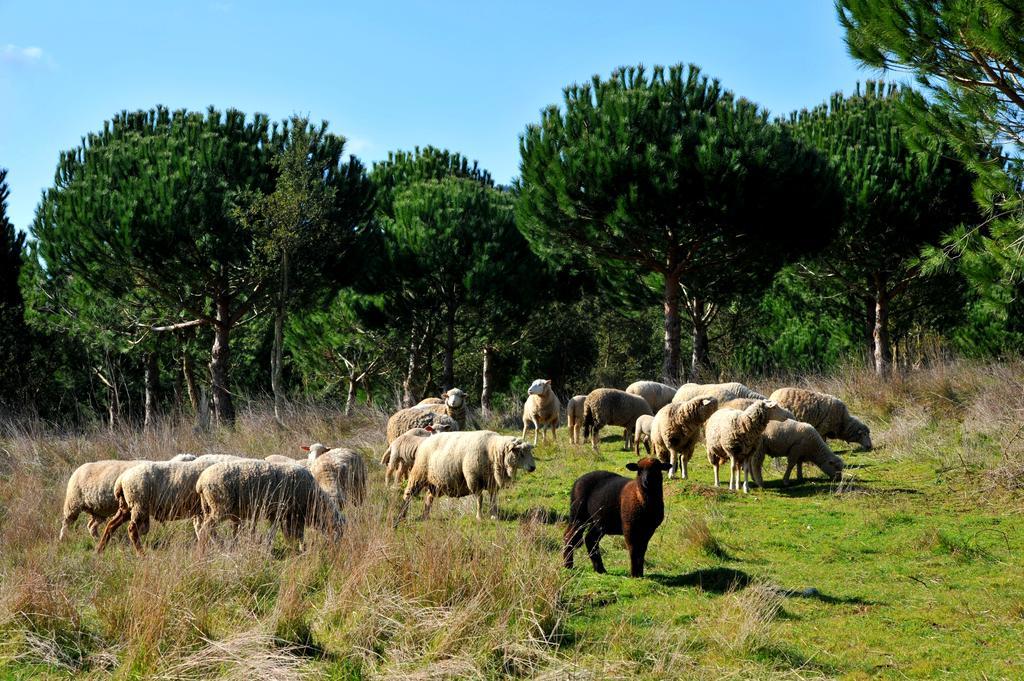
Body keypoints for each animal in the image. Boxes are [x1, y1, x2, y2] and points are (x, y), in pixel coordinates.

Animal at [193, 456, 346, 548]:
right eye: (338, 530)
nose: (337, 548)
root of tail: (200, 482)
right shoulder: (290, 514)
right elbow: (292, 533)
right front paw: (299, 548)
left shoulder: (282, 514)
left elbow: (284, 532)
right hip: (220, 506)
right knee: (205, 530)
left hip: (208, 507)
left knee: (206, 529)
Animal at [401, 430, 540, 520]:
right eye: (521, 453)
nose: (533, 468)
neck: (492, 450)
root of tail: (426, 440)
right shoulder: (474, 479)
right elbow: (480, 499)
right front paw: (479, 517)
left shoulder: (492, 482)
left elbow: (493, 499)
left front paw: (494, 516)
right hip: (418, 473)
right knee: (408, 494)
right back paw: (402, 516)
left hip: (435, 482)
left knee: (428, 498)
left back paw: (426, 516)